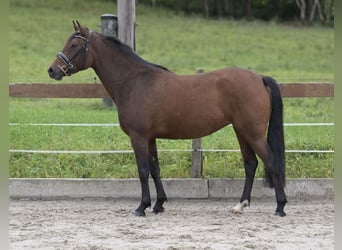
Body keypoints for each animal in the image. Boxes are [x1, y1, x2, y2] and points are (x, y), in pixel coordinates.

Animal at [48, 21, 288, 217]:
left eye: (74, 45)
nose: (52, 70)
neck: (134, 81)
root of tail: (259, 78)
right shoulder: (150, 138)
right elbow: (155, 169)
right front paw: (158, 204)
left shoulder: (138, 137)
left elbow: (143, 170)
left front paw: (141, 207)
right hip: (241, 131)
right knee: (251, 164)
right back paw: (241, 205)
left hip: (253, 133)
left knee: (271, 161)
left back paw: (280, 206)